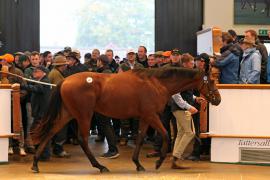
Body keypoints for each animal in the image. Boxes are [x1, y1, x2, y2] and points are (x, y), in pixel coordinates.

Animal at [31, 66, 221, 173]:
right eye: (211, 80)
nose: (218, 100)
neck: (156, 83)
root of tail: (64, 81)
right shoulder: (151, 115)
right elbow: (166, 135)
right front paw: (158, 162)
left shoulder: (145, 117)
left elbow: (140, 137)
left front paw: (138, 164)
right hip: (83, 115)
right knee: (82, 139)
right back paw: (100, 166)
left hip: (68, 114)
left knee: (51, 132)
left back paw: (35, 164)